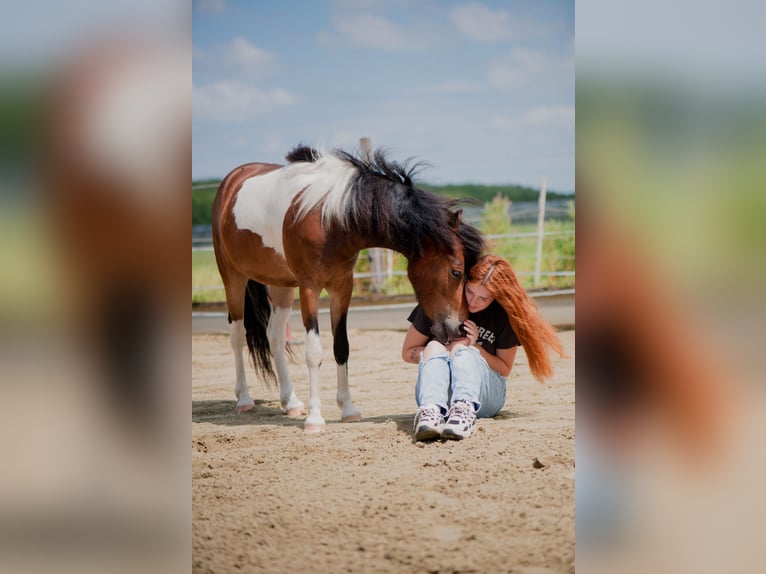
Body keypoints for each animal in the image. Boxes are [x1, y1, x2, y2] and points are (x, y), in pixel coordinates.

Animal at [213, 144, 484, 432]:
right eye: (456, 272)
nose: (460, 327)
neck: (331, 217)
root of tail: (232, 180)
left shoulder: (342, 286)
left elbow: (341, 346)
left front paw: (348, 408)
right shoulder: (309, 287)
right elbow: (314, 352)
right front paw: (315, 419)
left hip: (281, 286)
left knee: (274, 336)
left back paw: (291, 402)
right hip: (233, 277)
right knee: (237, 336)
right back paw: (244, 399)